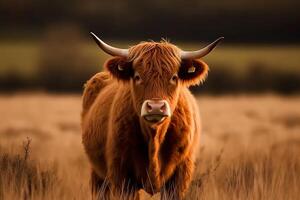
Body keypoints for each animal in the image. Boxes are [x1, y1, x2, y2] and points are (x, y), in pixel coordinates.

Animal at [81, 32, 223, 198]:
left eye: (174, 77)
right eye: (137, 76)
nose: (155, 107)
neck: (154, 137)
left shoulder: (179, 178)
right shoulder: (123, 177)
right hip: (98, 175)